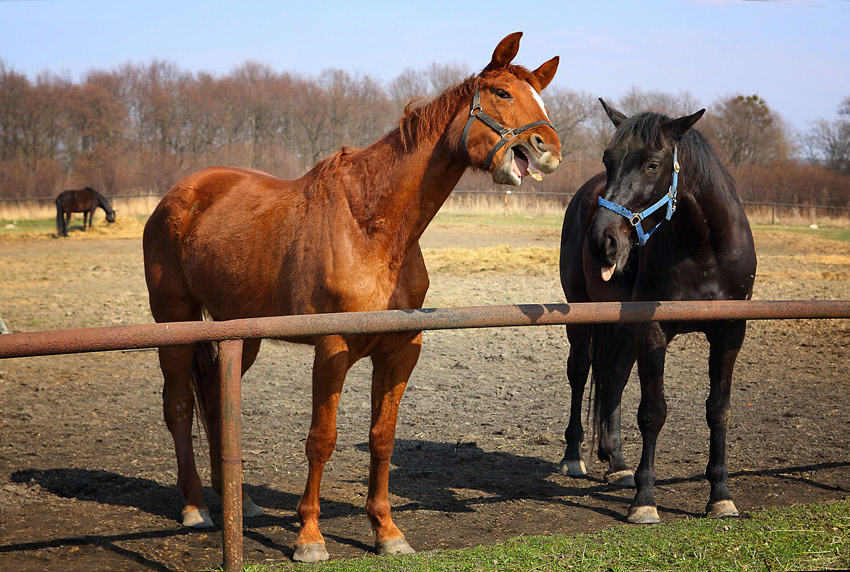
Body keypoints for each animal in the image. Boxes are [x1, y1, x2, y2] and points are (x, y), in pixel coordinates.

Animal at [142, 32, 560, 564]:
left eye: (540, 98)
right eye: (503, 93)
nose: (550, 149)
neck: (372, 226)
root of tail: (178, 195)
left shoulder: (401, 352)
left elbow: (382, 439)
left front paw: (386, 531)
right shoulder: (332, 348)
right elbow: (322, 439)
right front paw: (309, 537)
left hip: (241, 330)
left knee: (216, 403)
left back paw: (241, 500)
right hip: (172, 321)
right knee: (178, 405)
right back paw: (195, 507)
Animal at [556, 101, 756, 524]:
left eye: (652, 164)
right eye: (608, 158)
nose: (602, 241)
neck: (704, 247)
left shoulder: (731, 330)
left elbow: (719, 410)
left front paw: (720, 496)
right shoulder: (653, 329)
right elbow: (652, 412)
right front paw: (645, 501)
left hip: (619, 323)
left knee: (613, 378)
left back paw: (617, 464)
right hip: (581, 314)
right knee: (580, 373)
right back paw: (573, 457)